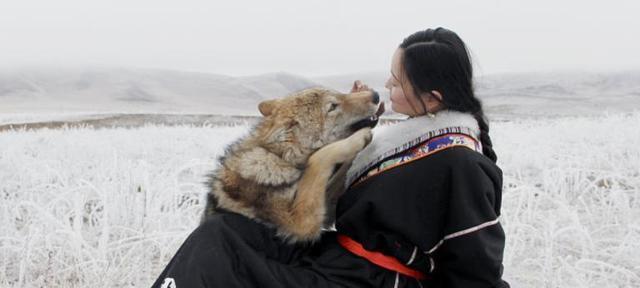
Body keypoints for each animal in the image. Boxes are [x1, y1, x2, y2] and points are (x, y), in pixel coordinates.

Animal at [202, 88, 382, 243]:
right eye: (332, 106)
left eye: (340, 93)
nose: (376, 94)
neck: (279, 157)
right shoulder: (301, 222)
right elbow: (319, 158)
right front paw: (359, 139)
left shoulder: (325, 209)